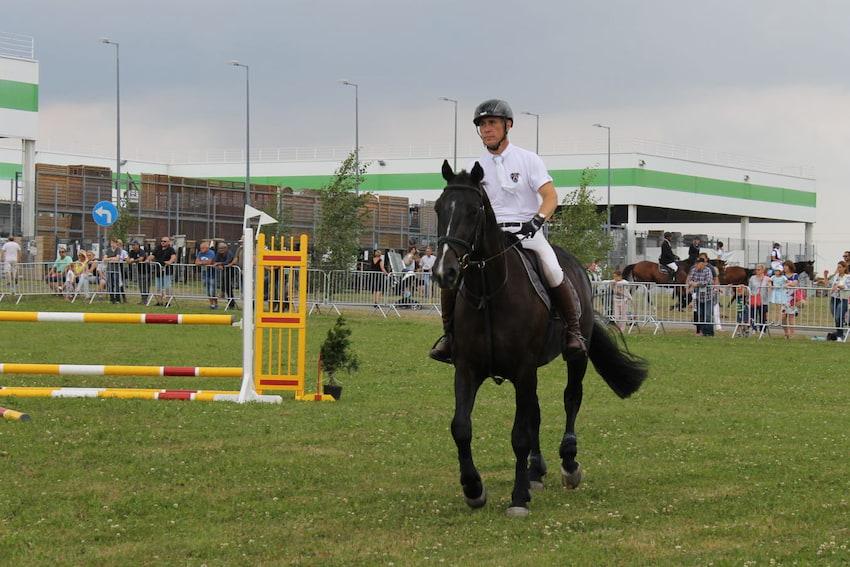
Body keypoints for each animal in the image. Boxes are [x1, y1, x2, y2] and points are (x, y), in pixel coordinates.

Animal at [434, 161, 644, 520]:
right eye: (438, 208)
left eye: (474, 210)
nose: (444, 272)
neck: (489, 293)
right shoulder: (467, 369)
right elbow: (461, 427)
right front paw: (474, 489)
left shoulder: (522, 369)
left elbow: (519, 434)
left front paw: (518, 497)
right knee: (535, 410)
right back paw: (535, 470)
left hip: (574, 356)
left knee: (571, 398)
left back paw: (568, 464)